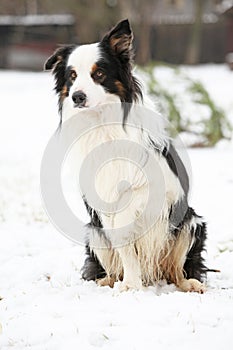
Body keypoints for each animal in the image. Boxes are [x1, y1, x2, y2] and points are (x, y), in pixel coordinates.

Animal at [45, 19, 208, 292]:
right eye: (72, 75)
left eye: (99, 73)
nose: (77, 97)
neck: (104, 123)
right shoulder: (102, 198)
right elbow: (124, 246)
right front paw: (131, 285)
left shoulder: (166, 192)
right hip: (94, 231)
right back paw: (107, 281)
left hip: (192, 222)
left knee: (176, 270)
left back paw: (189, 283)